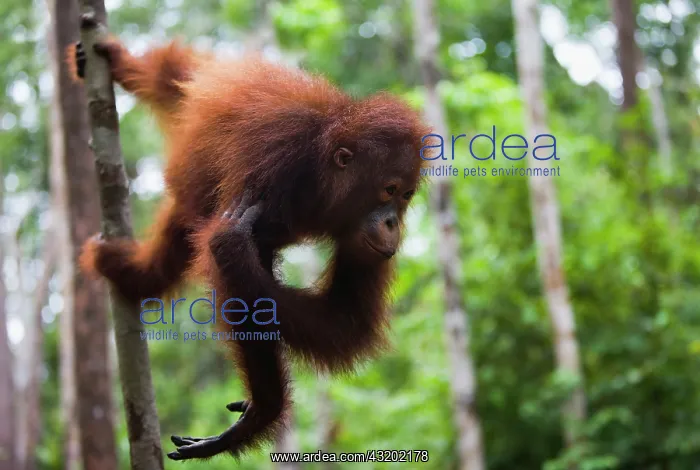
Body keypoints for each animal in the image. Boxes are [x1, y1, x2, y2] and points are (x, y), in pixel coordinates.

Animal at [71, 15, 429, 462]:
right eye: (388, 190)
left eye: (406, 195)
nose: (393, 224)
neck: (320, 169)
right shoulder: (269, 170)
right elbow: (228, 269)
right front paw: (263, 413)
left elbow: (344, 319)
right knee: (171, 74)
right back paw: (122, 61)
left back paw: (126, 271)